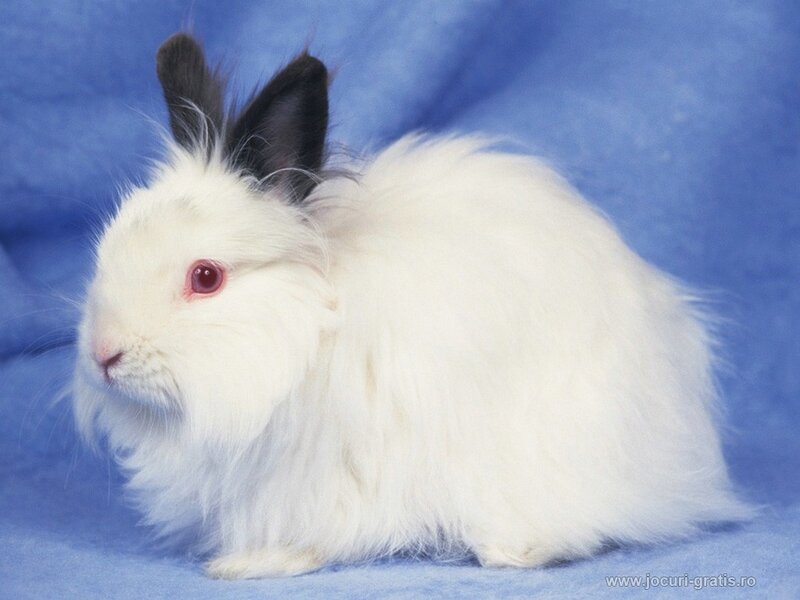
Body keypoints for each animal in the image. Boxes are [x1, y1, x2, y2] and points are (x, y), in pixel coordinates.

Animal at [72, 33, 753, 579]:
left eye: (206, 277)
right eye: (108, 247)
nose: (104, 355)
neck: (313, 330)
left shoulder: (325, 475)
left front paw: (251, 564)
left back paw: (514, 551)